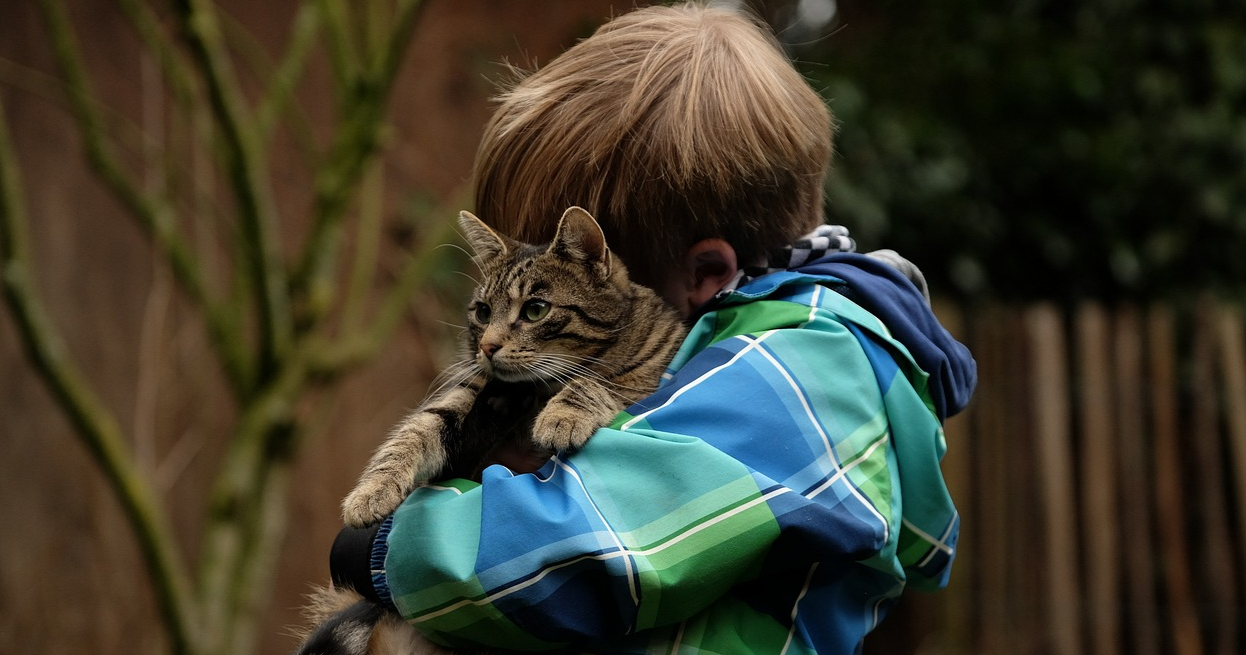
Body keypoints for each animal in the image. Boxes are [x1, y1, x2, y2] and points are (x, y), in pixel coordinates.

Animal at [295, 206, 692, 655]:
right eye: (483, 312)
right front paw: (370, 493)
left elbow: (598, 381)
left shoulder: (645, 375)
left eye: (535, 310)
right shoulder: (470, 393)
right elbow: (413, 432)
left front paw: (563, 416)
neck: (537, 390)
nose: (486, 346)